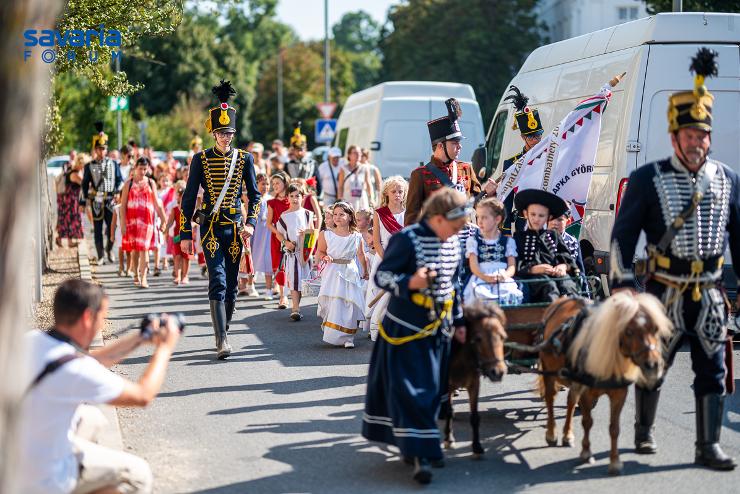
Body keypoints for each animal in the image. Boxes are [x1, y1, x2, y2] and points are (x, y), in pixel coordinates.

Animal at [442, 302, 506, 460]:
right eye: (478, 339)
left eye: (503, 337)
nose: (498, 372)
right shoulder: (447, 385)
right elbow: (449, 411)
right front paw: (448, 439)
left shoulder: (474, 385)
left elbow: (475, 417)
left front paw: (477, 447)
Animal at [536, 294, 672, 474]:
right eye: (629, 331)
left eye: (655, 329)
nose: (654, 365)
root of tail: (560, 300)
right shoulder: (586, 393)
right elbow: (587, 422)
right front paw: (586, 452)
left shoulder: (619, 395)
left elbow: (614, 428)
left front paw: (615, 462)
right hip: (548, 370)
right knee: (550, 399)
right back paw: (552, 433)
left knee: (570, 401)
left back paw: (567, 435)